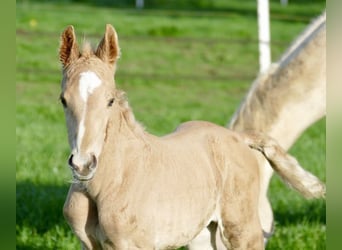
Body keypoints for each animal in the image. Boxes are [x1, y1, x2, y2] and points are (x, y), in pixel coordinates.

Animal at [60, 24, 324, 249]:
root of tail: (239, 138)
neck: (115, 180)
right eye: (63, 100)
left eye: (110, 100)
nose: (83, 165)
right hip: (205, 235)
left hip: (243, 230)